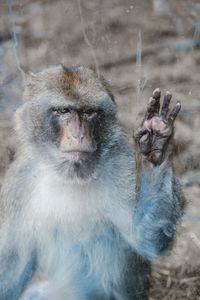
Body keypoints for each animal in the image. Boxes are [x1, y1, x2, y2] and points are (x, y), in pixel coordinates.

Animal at [0, 64, 184, 298]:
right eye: (64, 111)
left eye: (89, 112)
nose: (79, 136)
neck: (70, 176)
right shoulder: (19, 182)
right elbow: (12, 269)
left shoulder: (122, 166)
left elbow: (148, 238)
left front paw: (155, 143)